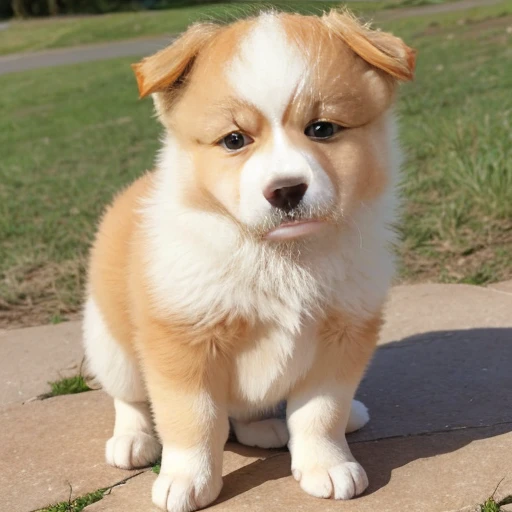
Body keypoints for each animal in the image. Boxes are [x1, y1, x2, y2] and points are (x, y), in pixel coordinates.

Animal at [81, 10, 416, 512]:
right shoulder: (183, 341)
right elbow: (194, 419)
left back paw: (272, 427)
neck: (278, 254)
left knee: (249, 413)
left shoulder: (344, 333)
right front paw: (187, 480)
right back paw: (132, 440)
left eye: (322, 129)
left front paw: (327, 465)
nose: (287, 190)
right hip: (109, 345)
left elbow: (321, 411)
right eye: (234, 140)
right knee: (131, 399)